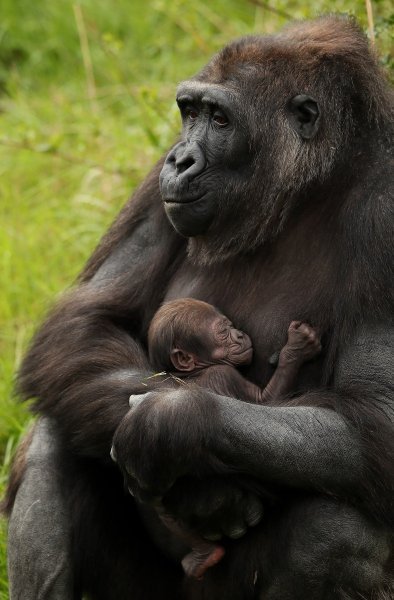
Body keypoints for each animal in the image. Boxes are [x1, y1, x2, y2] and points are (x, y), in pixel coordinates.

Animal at [142, 300, 320, 580]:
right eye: (223, 331)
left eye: (230, 326)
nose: (238, 334)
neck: (196, 371)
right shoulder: (224, 374)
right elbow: (265, 402)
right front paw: (296, 348)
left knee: (167, 511)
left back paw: (202, 554)